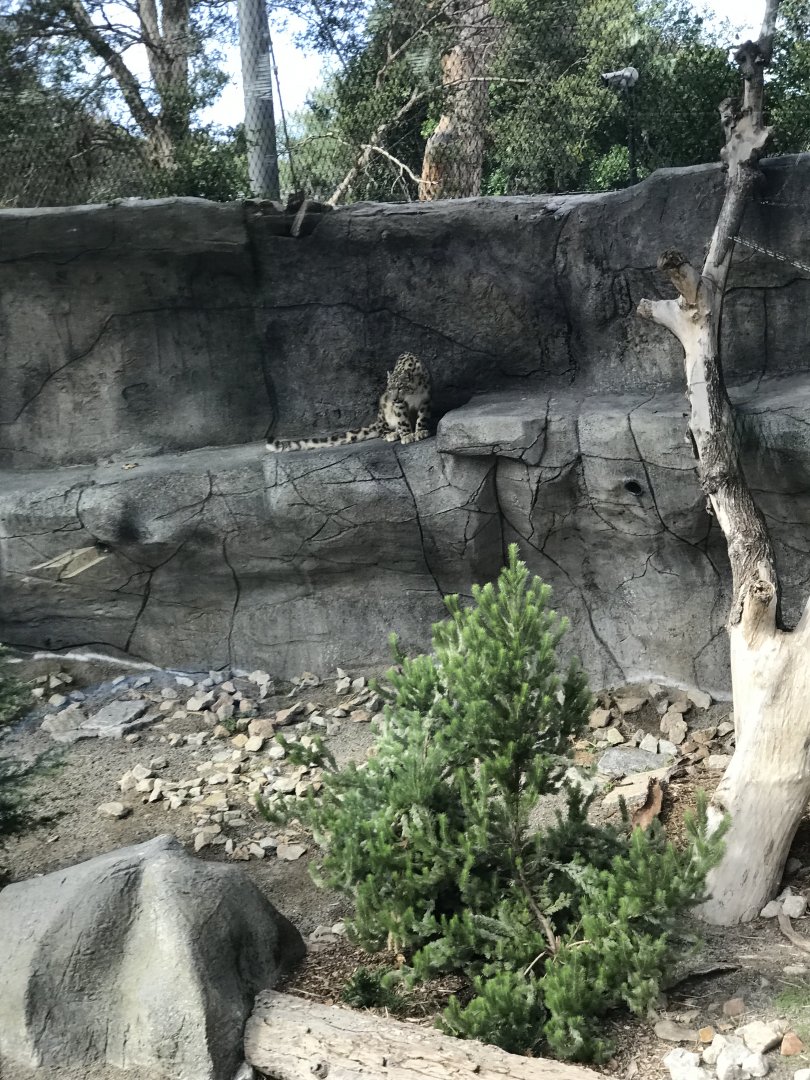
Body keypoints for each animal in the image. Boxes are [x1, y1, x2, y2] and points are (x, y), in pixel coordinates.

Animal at [266, 352, 431, 453]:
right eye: (390, 388)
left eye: (401, 387)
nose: (394, 398)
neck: (413, 393)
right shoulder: (399, 405)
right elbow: (403, 420)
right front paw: (407, 436)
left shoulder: (425, 399)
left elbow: (422, 417)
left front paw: (420, 432)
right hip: (383, 411)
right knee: (381, 430)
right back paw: (392, 434)